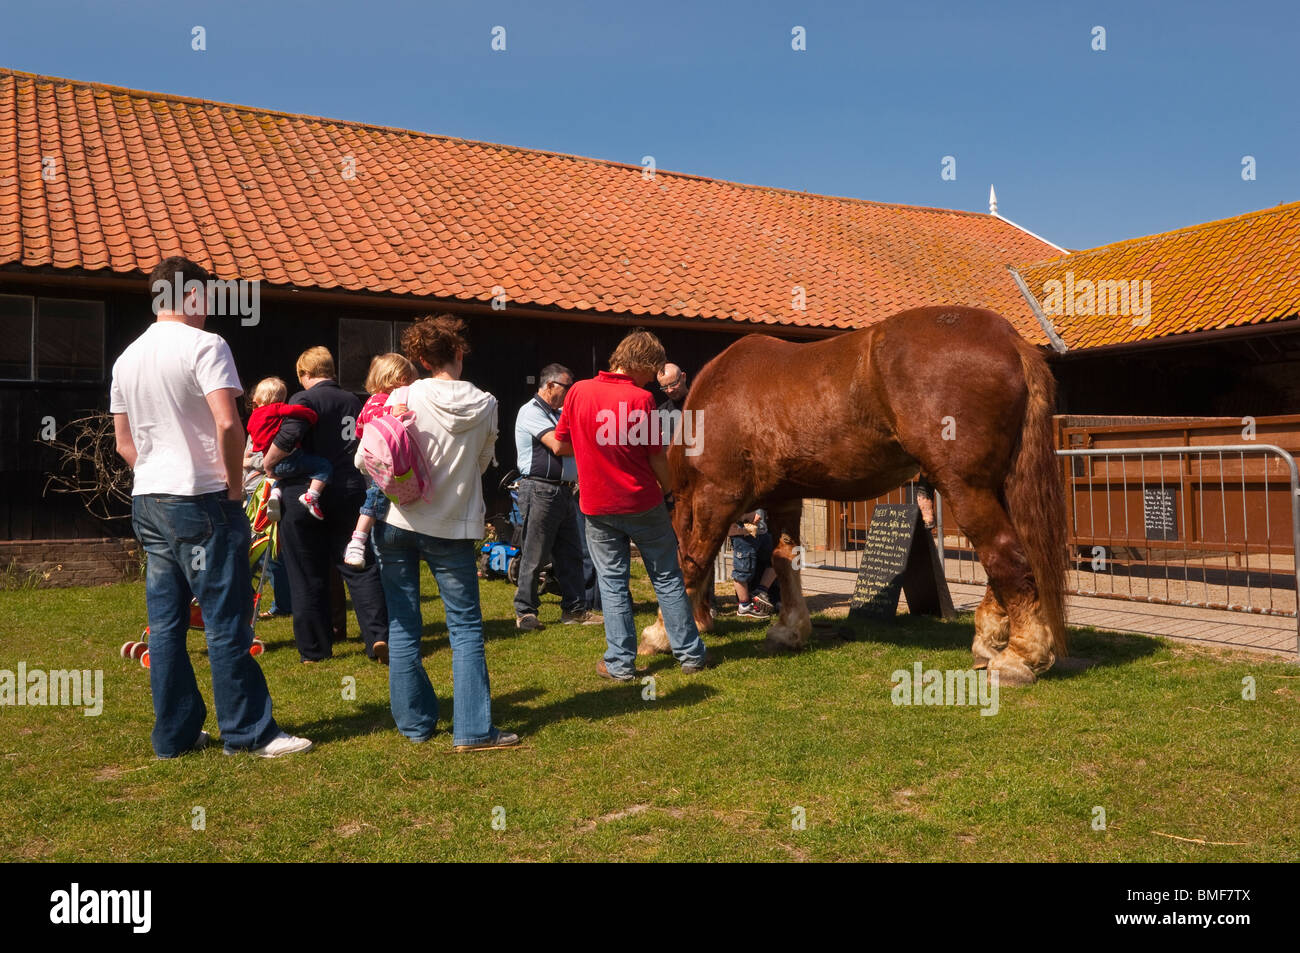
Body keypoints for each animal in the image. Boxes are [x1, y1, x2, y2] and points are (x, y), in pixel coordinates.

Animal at [644, 304, 1071, 686]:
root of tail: (1009, 340)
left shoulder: (717, 496)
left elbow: (690, 562)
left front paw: (660, 635)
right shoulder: (783, 499)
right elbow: (784, 559)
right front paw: (790, 630)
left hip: (965, 488)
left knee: (1005, 555)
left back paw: (1019, 658)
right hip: (996, 486)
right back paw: (990, 641)